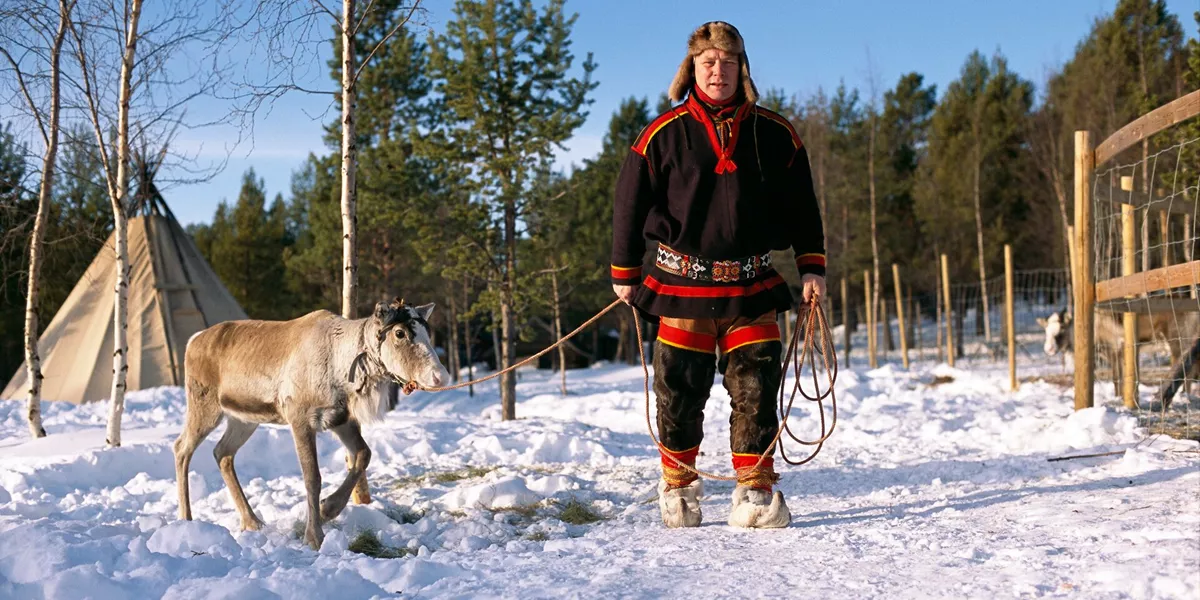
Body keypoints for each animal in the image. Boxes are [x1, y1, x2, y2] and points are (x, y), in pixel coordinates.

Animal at [173, 298, 451, 550]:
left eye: (426, 331)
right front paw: (314, 536)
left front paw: (328, 509)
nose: (441, 377)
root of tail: (192, 341)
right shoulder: (300, 419)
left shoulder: (341, 418)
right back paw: (186, 519)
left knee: (222, 452)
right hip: (205, 405)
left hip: (243, 419)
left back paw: (252, 521)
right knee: (182, 448)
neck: (342, 364)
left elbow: (364, 454)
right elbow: (312, 478)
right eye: (400, 332)